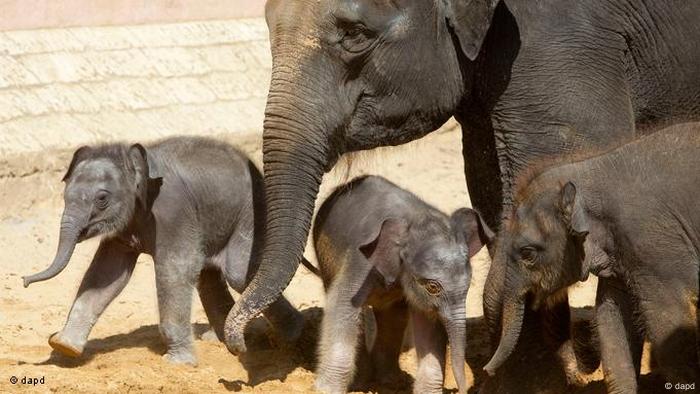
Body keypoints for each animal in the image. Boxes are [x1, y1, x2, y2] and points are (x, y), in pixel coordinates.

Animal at [23, 137, 302, 364]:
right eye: (65, 195)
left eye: (101, 199)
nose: (24, 280)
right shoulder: (126, 226)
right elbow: (106, 276)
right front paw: (64, 346)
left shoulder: (173, 211)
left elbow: (174, 269)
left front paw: (178, 363)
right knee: (209, 277)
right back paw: (224, 340)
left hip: (251, 216)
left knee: (239, 273)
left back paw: (295, 334)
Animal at [306, 176, 492, 394]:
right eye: (433, 287)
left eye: (468, 284)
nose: (462, 389)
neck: (415, 221)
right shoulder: (360, 264)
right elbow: (342, 306)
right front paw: (325, 389)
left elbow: (429, 324)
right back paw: (363, 383)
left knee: (393, 316)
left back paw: (389, 380)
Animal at [484, 122, 700, 390]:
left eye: (527, 253)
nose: (487, 370)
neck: (588, 169)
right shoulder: (622, 253)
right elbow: (611, 319)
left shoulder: (654, 245)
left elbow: (669, 322)